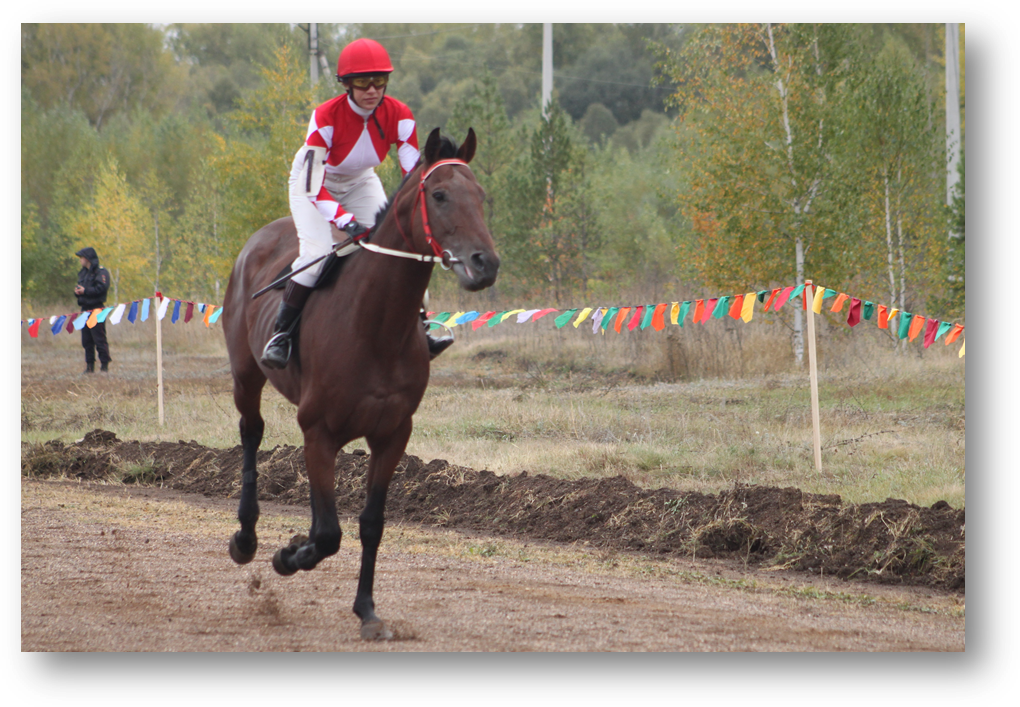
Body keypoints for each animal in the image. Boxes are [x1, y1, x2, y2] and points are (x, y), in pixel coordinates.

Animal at [221, 128, 499, 640]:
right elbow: (328, 533)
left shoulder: (392, 434)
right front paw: (288, 555)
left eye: (481, 195)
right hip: (245, 376)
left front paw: (367, 610)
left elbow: (369, 523)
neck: (377, 327)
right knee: (251, 433)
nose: (485, 263)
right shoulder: (318, 431)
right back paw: (246, 538)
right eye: (440, 194)